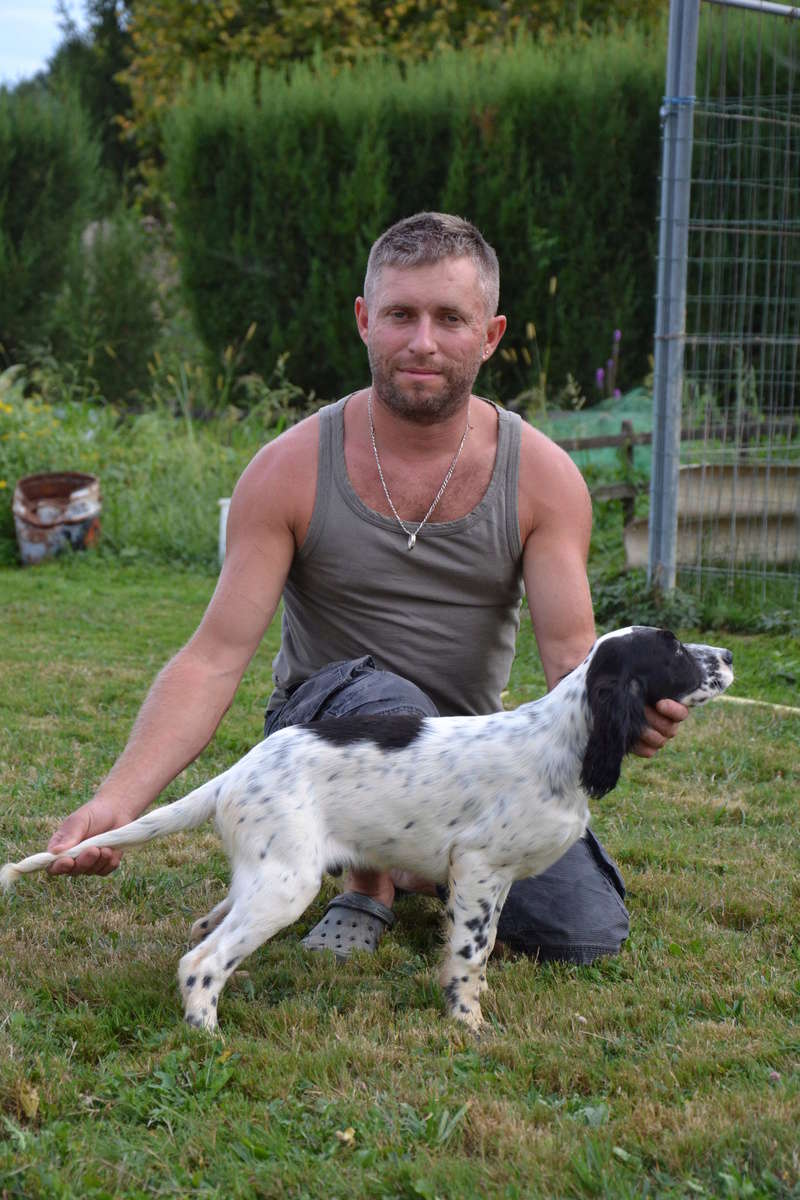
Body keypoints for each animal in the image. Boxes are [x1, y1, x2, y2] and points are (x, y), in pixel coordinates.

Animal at [3, 628, 734, 1032]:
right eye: (673, 648)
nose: (727, 653)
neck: (565, 738)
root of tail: (237, 772)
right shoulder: (479, 869)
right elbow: (469, 957)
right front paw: (467, 1026)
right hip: (287, 883)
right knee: (202, 962)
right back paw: (206, 1034)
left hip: (264, 874)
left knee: (208, 933)